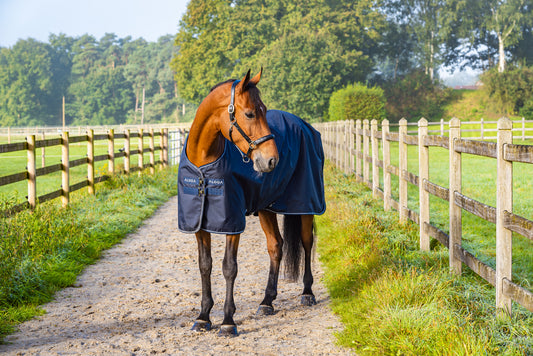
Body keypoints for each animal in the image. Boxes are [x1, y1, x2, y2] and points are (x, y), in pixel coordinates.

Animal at [177, 68, 324, 336]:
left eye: (264, 110)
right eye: (249, 113)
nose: (272, 160)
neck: (204, 162)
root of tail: (305, 125)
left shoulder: (232, 222)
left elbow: (229, 267)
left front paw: (227, 321)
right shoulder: (199, 224)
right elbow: (205, 265)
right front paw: (203, 317)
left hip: (307, 204)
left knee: (307, 242)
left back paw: (307, 293)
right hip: (266, 207)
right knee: (276, 246)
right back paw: (267, 302)